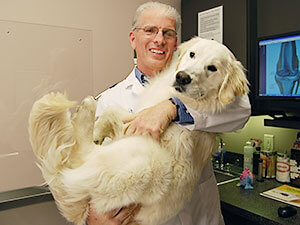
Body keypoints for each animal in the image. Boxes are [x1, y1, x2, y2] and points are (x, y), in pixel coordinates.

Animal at [28, 37, 248, 225]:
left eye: (212, 68)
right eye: (192, 54)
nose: (182, 77)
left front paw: (96, 127)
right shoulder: (133, 119)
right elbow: (113, 112)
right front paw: (98, 131)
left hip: (143, 163)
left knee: (79, 154)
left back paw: (86, 109)